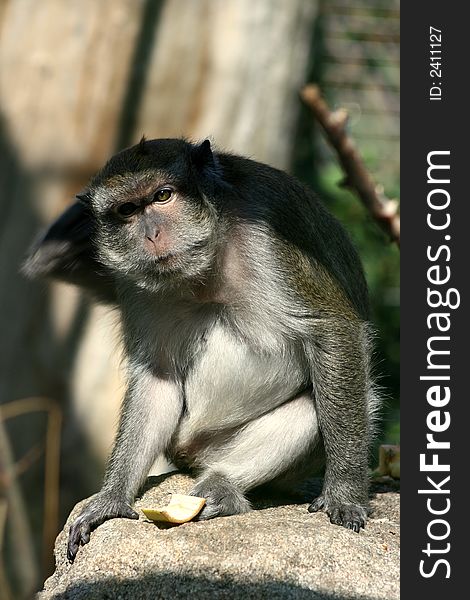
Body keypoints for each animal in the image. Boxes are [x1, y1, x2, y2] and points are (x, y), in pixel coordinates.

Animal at [23, 137, 380, 564]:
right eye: (127, 210)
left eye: (162, 196)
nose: (152, 234)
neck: (209, 257)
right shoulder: (134, 283)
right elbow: (158, 378)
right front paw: (112, 497)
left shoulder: (271, 239)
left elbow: (333, 330)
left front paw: (345, 493)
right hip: (186, 446)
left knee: (320, 404)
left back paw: (224, 485)